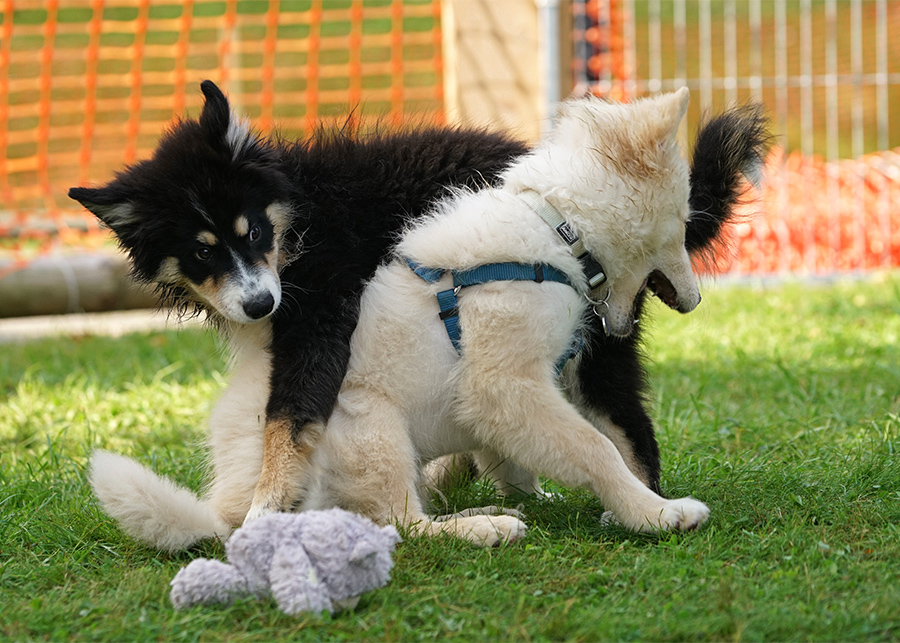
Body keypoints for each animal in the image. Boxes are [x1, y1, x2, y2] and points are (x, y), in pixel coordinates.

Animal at [302, 88, 712, 544]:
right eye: (684, 221)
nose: (696, 301)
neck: (559, 229)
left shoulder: (499, 400)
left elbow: (515, 463)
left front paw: (540, 499)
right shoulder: (503, 384)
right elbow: (595, 448)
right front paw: (655, 513)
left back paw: (486, 510)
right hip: (375, 428)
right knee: (402, 522)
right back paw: (486, 528)